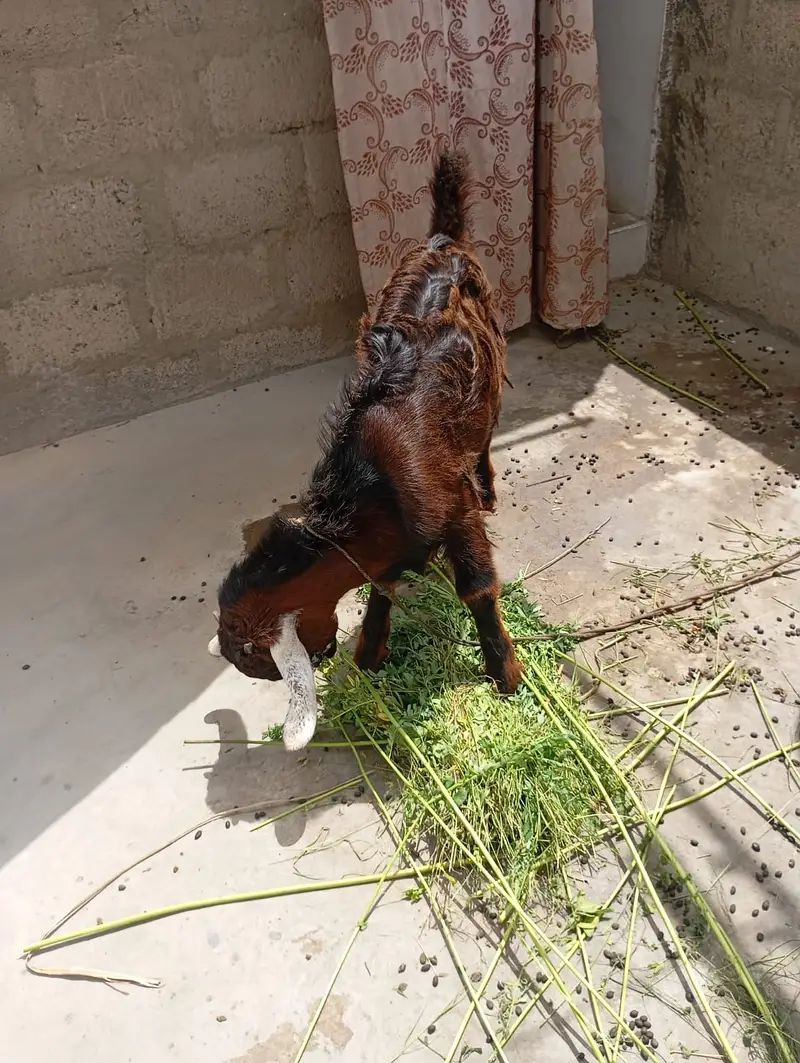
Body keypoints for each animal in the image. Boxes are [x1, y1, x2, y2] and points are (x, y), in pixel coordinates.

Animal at [207, 150, 522, 750]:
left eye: (262, 660)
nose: (324, 653)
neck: (375, 482)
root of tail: (443, 237)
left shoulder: (456, 511)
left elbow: (477, 589)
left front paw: (506, 675)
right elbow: (382, 585)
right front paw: (370, 653)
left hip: (492, 371)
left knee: (488, 432)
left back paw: (492, 484)